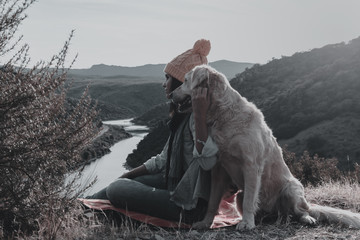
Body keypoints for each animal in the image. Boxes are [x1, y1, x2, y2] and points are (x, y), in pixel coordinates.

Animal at [170, 64, 360, 230]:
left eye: (185, 80)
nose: (171, 94)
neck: (223, 114)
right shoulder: (218, 170)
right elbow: (212, 201)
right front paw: (205, 222)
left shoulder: (251, 165)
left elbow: (249, 201)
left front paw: (247, 223)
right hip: (240, 196)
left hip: (291, 188)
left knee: (301, 210)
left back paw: (306, 218)